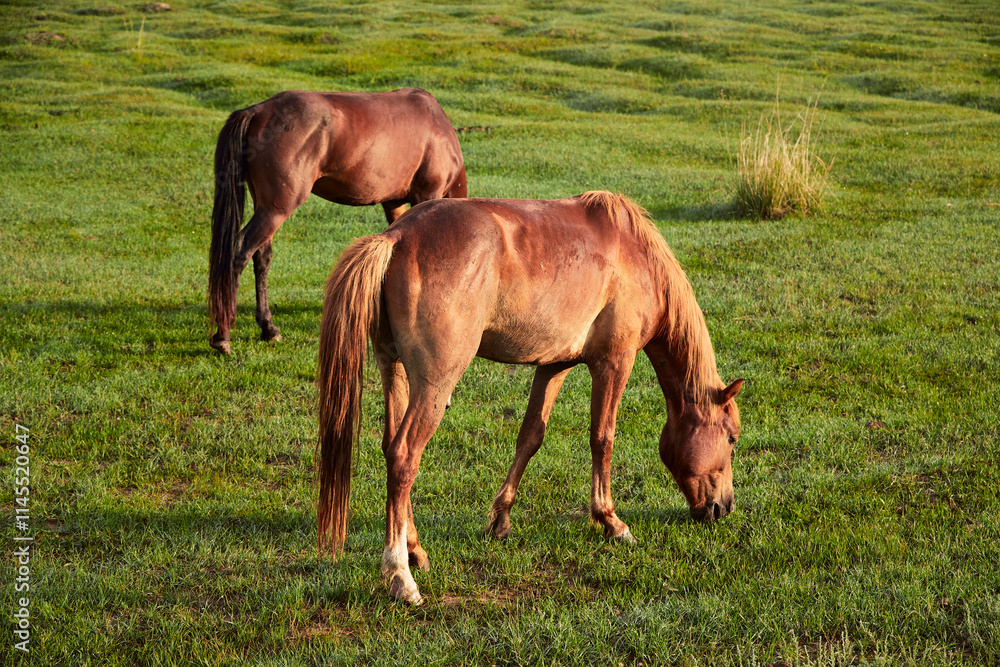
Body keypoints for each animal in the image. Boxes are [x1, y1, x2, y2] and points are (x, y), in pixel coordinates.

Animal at [208, 87, 467, 354]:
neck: (437, 128)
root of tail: (257, 111)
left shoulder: (394, 204)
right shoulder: (427, 195)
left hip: (266, 207)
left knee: (261, 257)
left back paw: (268, 328)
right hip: (276, 209)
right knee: (239, 252)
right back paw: (223, 335)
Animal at [316, 191, 744, 605]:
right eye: (732, 439)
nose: (724, 507)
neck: (634, 254)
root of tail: (396, 237)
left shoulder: (554, 365)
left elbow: (530, 436)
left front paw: (501, 518)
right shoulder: (614, 362)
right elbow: (602, 439)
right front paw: (611, 521)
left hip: (395, 371)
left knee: (391, 447)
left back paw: (415, 550)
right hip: (435, 384)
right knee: (405, 456)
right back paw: (401, 575)